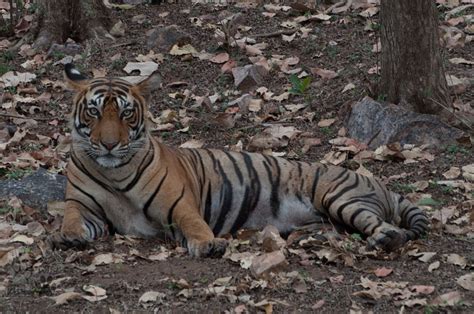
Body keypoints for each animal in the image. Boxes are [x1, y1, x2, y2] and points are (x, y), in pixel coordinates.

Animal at [51, 63, 430, 258]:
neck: (113, 173)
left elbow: (194, 223)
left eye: (126, 113)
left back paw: (384, 240)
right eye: (94, 112)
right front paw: (67, 236)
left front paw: (208, 244)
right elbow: (71, 219)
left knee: (388, 228)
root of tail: (378, 181)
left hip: (340, 197)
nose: (109, 145)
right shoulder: (82, 206)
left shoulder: (179, 202)